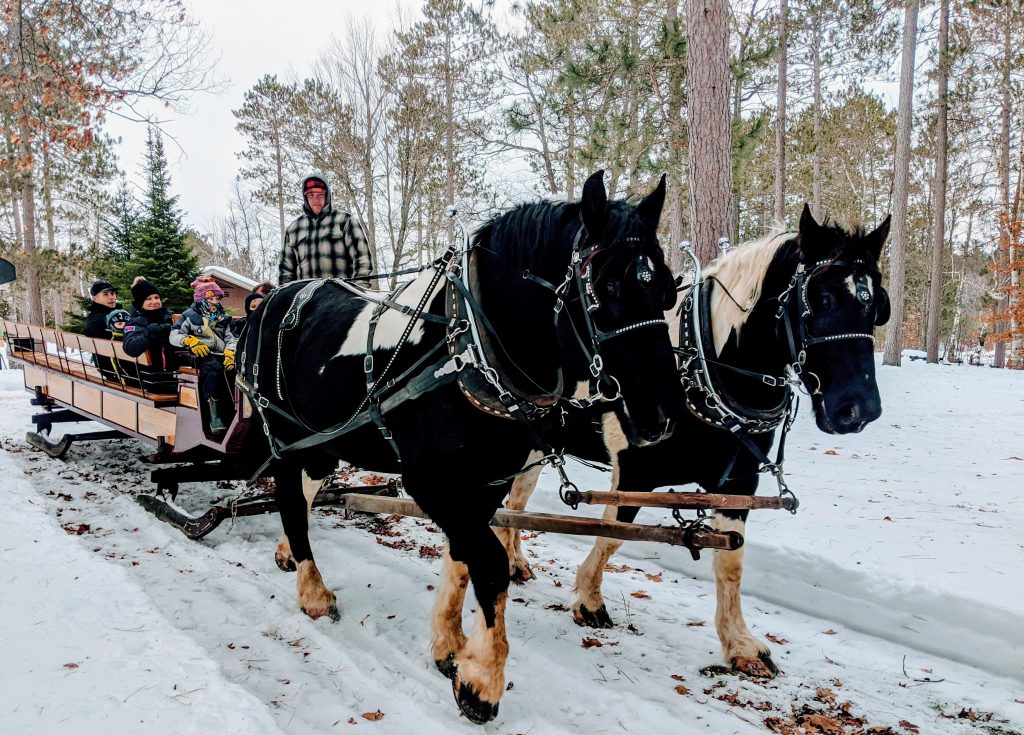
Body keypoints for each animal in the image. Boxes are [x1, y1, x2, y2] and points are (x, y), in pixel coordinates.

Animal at [499, 202, 892, 679]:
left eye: (876, 306)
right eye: (821, 299)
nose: (859, 409)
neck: (703, 367)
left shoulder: (738, 483)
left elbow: (732, 562)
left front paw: (740, 643)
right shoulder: (635, 471)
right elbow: (612, 536)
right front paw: (589, 601)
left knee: (517, 500)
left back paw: (514, 561)